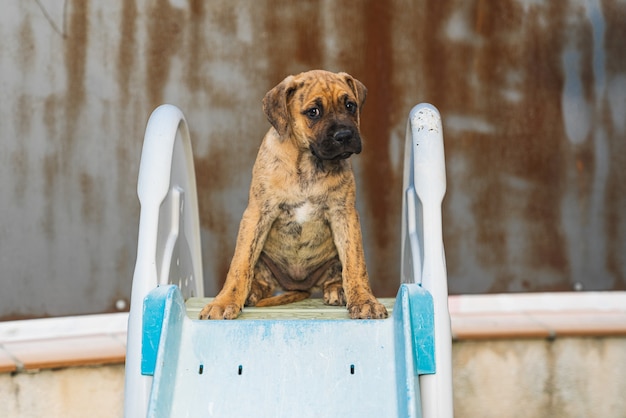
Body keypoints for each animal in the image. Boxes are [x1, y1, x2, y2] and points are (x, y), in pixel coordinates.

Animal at [200, 71, 386, 320]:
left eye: (350, 106)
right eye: (313, 112)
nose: (345, 135)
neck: (308, 162)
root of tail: (298, 285)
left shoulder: (344, 215)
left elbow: (355, 263)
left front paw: (365, 300)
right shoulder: (257, 214)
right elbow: (240, 264)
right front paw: (224, 302)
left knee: (337, 273)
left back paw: (337, 289)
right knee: (259, 278)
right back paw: (252, 292)